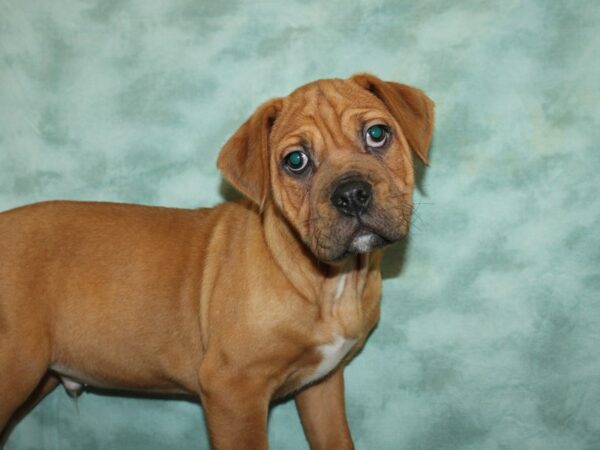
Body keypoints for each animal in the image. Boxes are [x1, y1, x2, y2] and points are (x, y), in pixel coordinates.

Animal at [0, 72, 432, 448]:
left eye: (377, 134)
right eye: (295, 161)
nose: (352, 194)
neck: (330, 280)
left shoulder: (321, 386)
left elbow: (336, 440)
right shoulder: (232, 390)